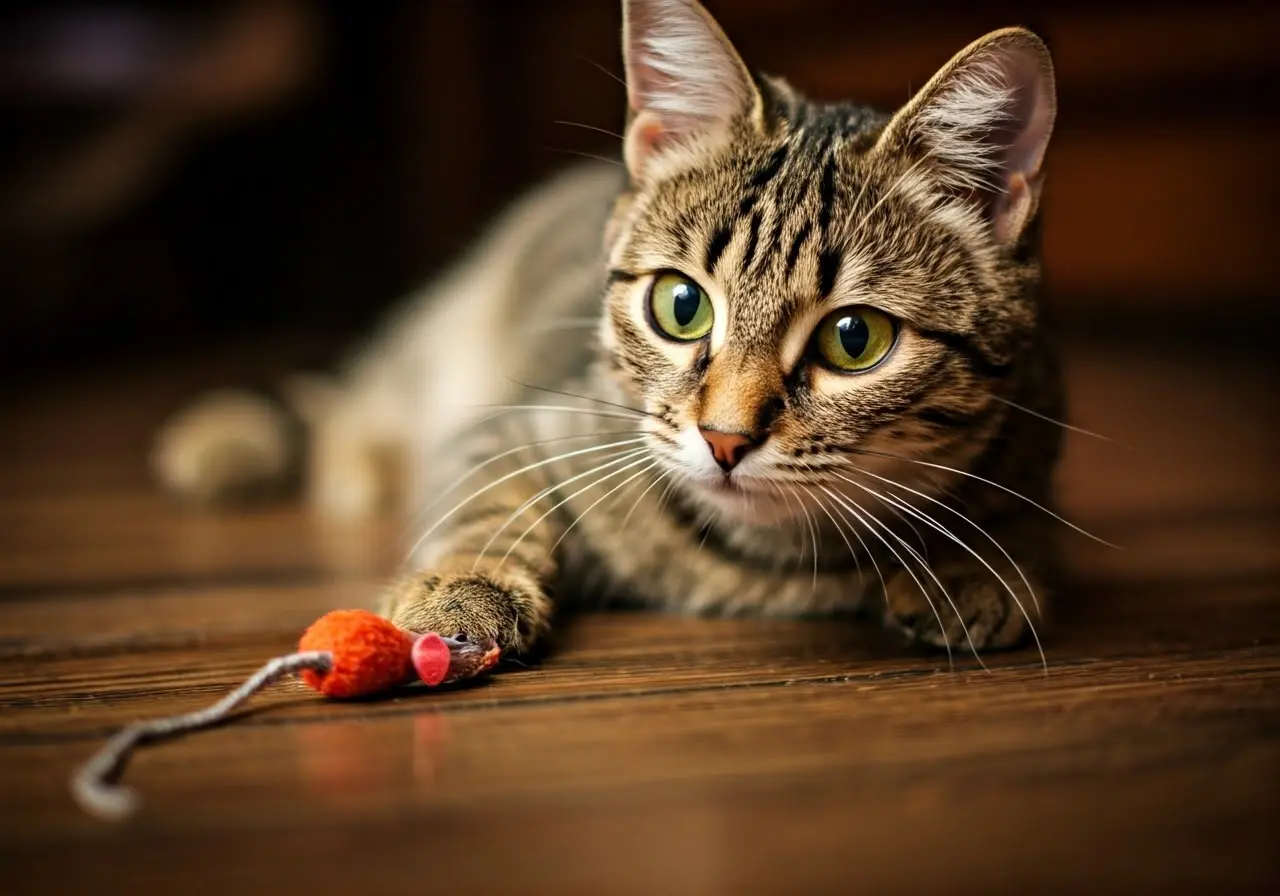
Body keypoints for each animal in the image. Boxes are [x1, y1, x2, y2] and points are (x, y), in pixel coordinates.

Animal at [154, 0, 1064, 660]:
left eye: (854, 340)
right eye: (682, 306)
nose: (725, 439)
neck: (759, 560)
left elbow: (1015, 514)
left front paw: (977, 566)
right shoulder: (517, 423)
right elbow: (487, 499)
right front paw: (462, 588)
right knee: (345, 403)